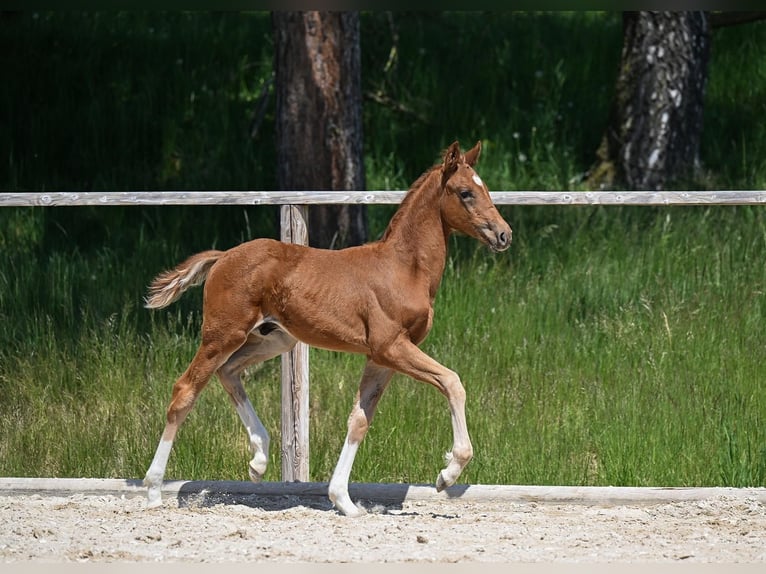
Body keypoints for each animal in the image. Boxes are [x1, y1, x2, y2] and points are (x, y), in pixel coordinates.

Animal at [143, 140, 512, 517]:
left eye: (485, 189)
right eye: (465, 192)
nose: (503, 234)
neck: (403, 269)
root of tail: (222, 257)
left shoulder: (380, 358)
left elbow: (359, 420)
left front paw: (344, 501)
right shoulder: (392, 346)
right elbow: (452, 382)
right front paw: (447, 474)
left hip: (274, 340)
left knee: (228, 372)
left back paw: (258, 461)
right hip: (222, 334)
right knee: (185, 390)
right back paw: (153, 490)